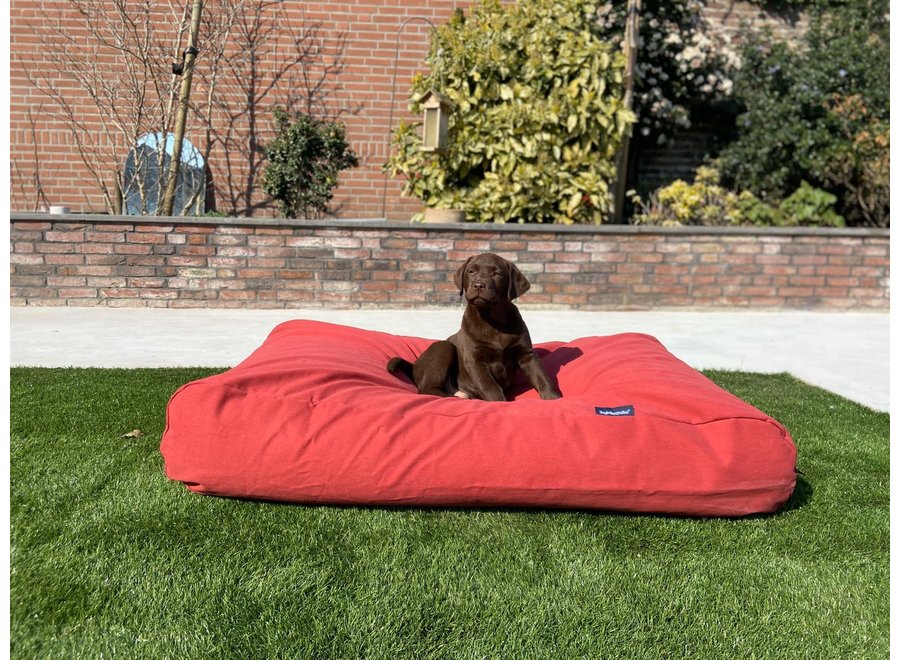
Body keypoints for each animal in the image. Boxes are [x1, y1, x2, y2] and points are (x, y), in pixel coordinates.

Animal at [388, 254, 564, 402]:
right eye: (471, 271)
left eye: (497, 274)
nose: (479, 285)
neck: (493, 320)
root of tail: (414, 364)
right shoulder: (475, 359)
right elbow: (489, 386)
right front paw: (499, 402)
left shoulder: (527, 354)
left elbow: (542, 377)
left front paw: (553, 399)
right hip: (444, 347)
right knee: (427, 388)